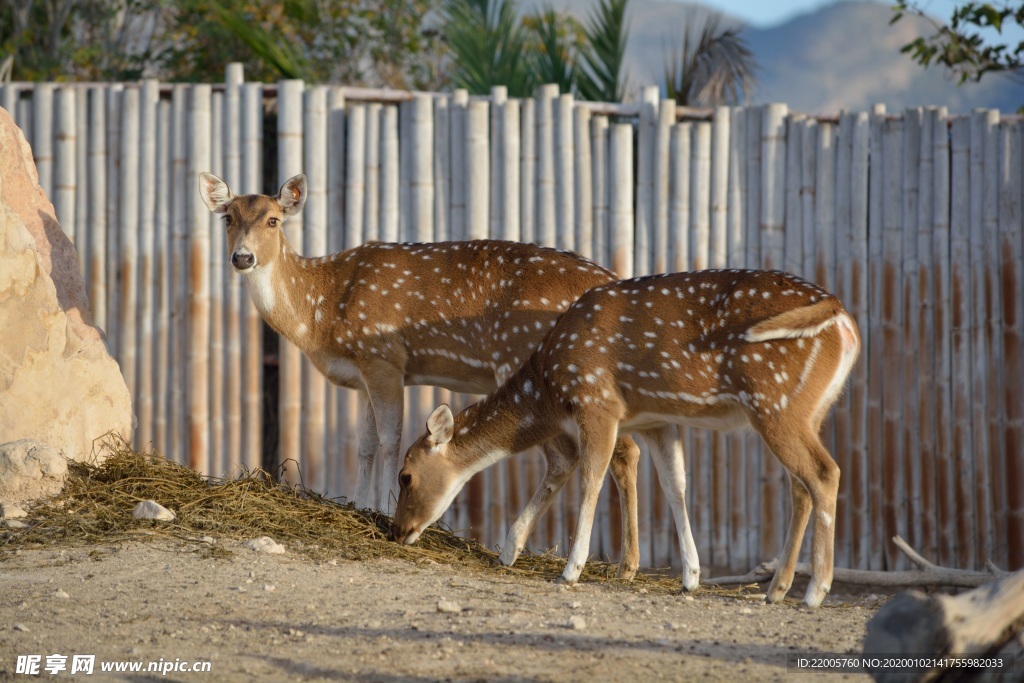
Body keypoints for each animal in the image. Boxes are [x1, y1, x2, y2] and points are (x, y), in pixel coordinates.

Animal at [196, 171, 643, 573]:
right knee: (622, 451)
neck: (321, 314)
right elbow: (364, 443)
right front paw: (359, 503)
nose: (242, 257)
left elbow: (390, 439)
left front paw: (382, 508)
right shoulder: (361, 376)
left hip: (538, 368)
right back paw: (621, 565)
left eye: (273, 219)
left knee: (589, 453)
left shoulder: (384, 356)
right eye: (228, 218)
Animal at [395, 270, 860, 606]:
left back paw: (815, 592)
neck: (549, 386)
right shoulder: (655, 419)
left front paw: (570, 570)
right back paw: (776, 589)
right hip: (810, 411)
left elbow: (591, 478)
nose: (398, 531)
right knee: (801, 486)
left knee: (825, 473)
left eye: (405, 475)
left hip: (777, 402)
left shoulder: (597, 401)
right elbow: (675, 485)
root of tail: (843, 317)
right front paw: (691, 577)